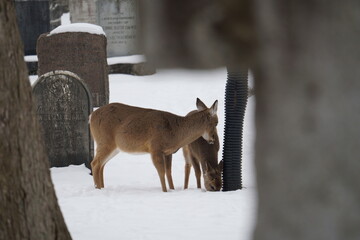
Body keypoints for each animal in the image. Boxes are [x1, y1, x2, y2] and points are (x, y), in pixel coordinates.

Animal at [88, 97, 218, 191]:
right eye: (216, 122)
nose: (212, 139)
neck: (175, 131)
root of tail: (91, 116)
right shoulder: (155, 147)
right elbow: (161, 172)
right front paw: (165, 191)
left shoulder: (168, 152)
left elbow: (168, 172)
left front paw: (172, 189)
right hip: (105, 141)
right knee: (95, 163)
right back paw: (98, 189)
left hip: (114, 147)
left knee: (102, 165)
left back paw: (102, 187)